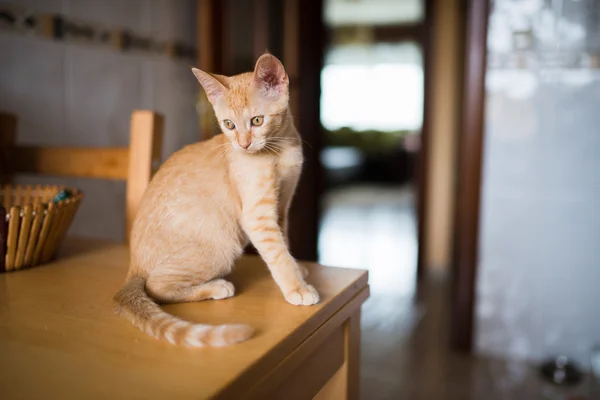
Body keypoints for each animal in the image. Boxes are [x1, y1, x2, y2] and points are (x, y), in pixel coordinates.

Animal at [113, 53, 318, 346]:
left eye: (257, 121)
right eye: (228, 125)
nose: (243, 145)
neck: (278, 151)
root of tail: (133, 268)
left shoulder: (282, 206)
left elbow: (284, 244)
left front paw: (298, 270)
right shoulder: (257, 216)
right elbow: (278, 254)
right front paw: (297, 288)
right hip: (221, 248)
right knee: (155, 286)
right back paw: (217, 287)